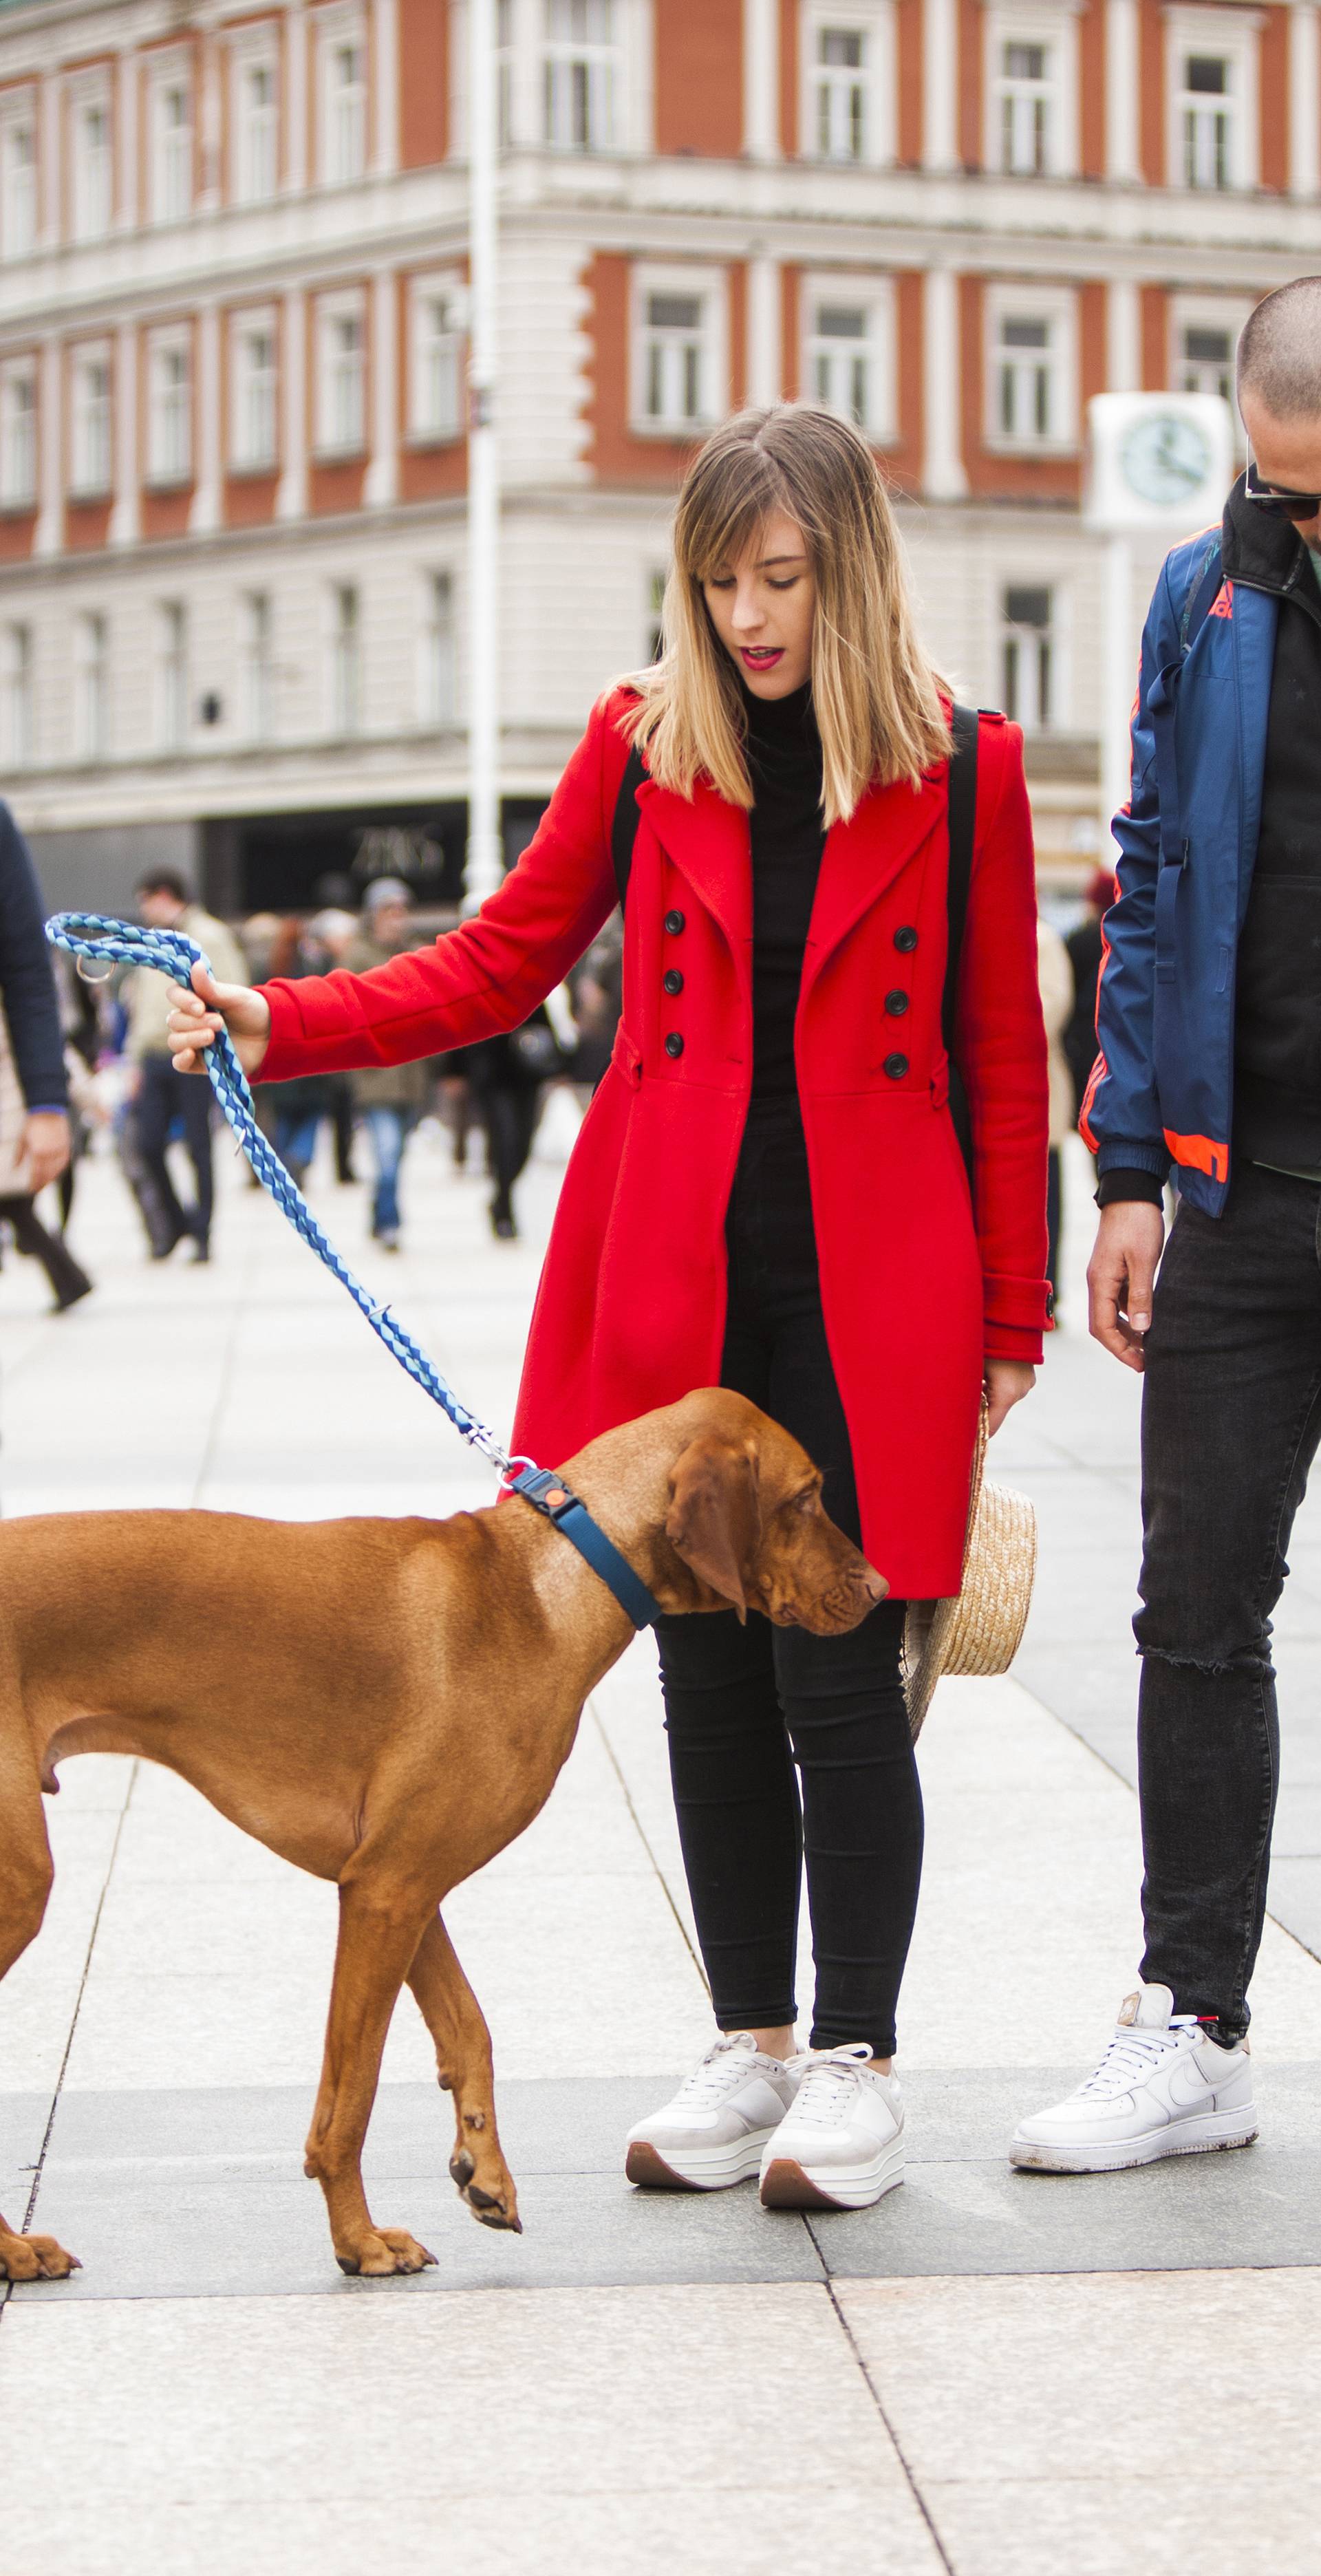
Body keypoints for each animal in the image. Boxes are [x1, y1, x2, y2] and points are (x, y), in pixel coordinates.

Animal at [5, 1391, 885, 2277]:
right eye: (805, 1497)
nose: (882, 1590)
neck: (550, 1580)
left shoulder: (398, 1885)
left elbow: (470, 2029)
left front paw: (483, 2172)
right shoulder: (387, 1889)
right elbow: (351, 2099)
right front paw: (357, 2241)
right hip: (22, 1882)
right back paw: (14, 2250)